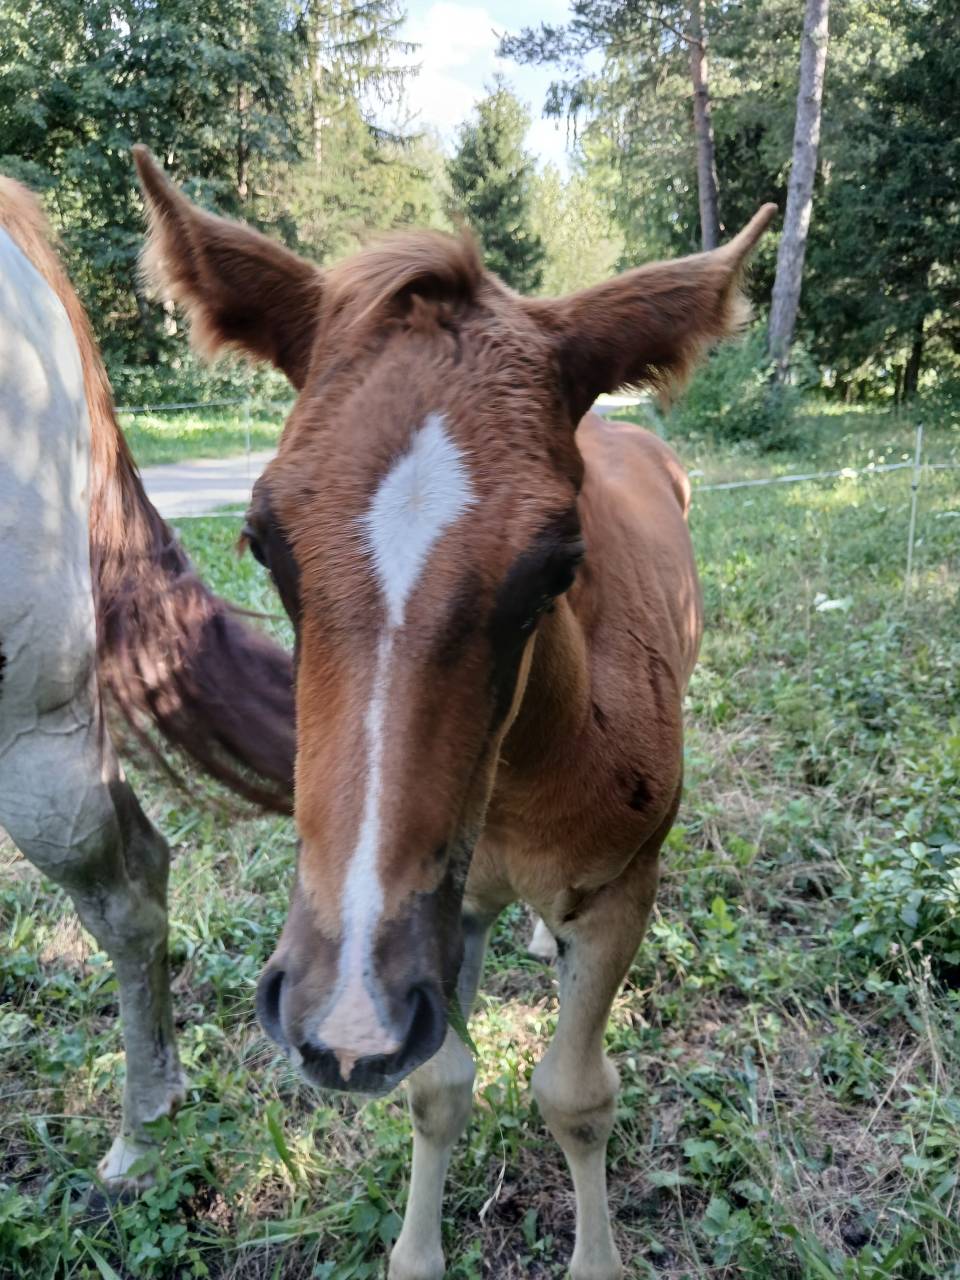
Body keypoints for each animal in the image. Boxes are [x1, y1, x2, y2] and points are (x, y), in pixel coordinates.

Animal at [132, 146, 775, 1278]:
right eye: (263, 541)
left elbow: (576, 1095)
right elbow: (437, 1086)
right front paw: (417, 1251)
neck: (524, 776)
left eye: (557, 563)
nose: (343, 1016)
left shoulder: (623, 887)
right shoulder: (442, 916)